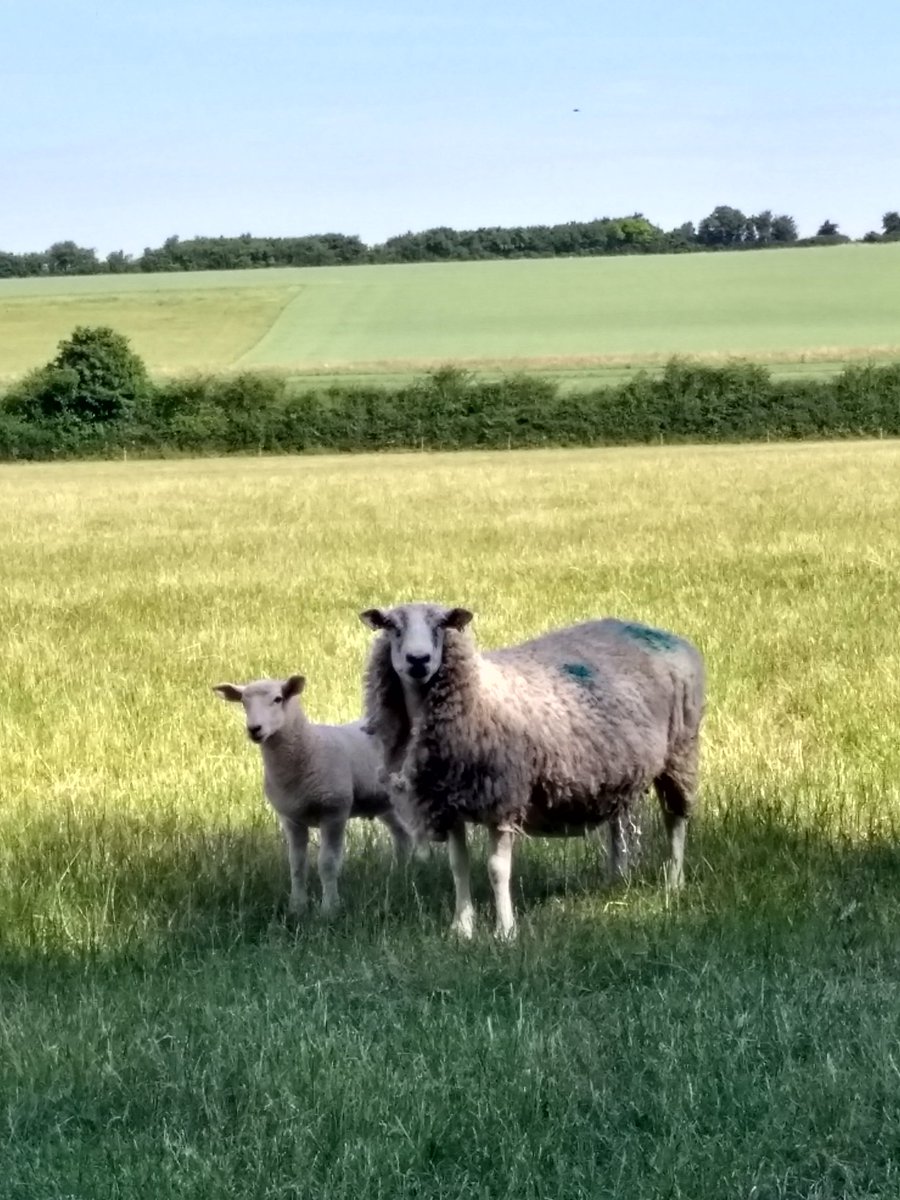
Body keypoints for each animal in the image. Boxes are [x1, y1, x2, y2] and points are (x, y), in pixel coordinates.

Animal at [213, 674, 413, 916]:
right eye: (243, 702)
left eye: (278, 699)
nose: (254, 729)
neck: (309, 745)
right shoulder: (291, 819)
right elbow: (297, 864)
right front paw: (297, 906)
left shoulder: (334, 811)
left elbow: (327, 863)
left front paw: (329, 908)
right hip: (384, 801)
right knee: (402, 835)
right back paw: (398, 876)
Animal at [360, 603, 705, 938]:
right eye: (393, 627)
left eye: (441, 626)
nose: (418, 660)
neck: (477, 693)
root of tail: (660, 632)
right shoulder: (448, 803)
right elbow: (459, 866)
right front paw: (462, 929)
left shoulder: (503, 798)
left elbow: (497, 869)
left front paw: (505, 931)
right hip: (617, 769)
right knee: (618, 822)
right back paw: (617, 878)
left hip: (680, 750)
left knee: (675, 820)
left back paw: (673, 882)